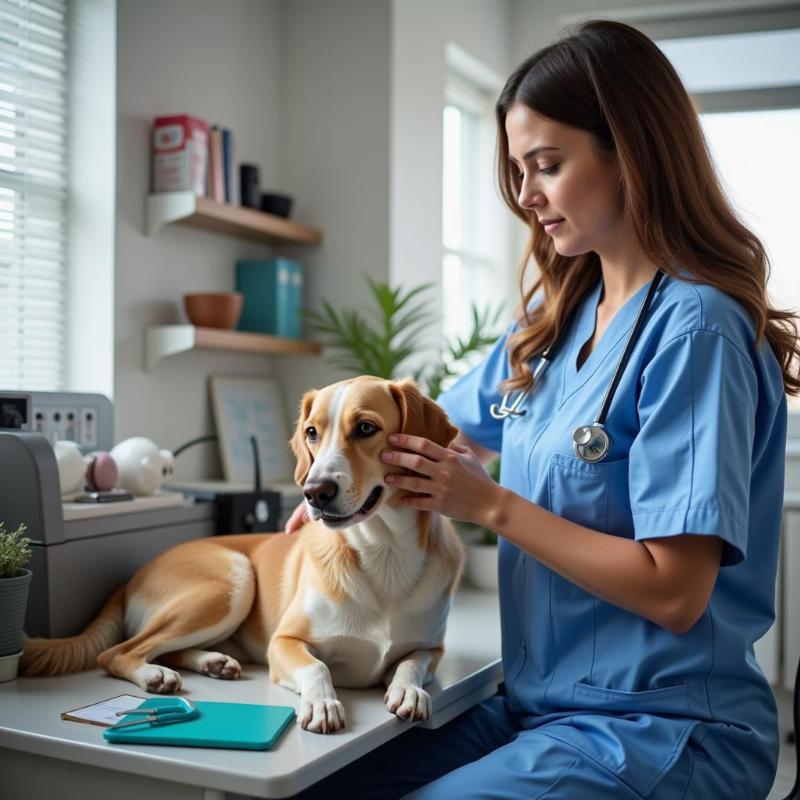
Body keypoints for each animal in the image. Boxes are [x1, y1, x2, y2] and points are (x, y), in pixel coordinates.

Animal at [21, 378, 466, 736]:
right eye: (312, 432)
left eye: (366, 428)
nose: (314, 492)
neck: (383, 550)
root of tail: (131, 577)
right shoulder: (284, 642)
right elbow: (318, 666)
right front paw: (323, 703)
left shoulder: (432, 648)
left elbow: (410, 662)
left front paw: (408, 690)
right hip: (232, 581)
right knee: (118, 651)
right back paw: (155, 674)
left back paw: (212, 662)